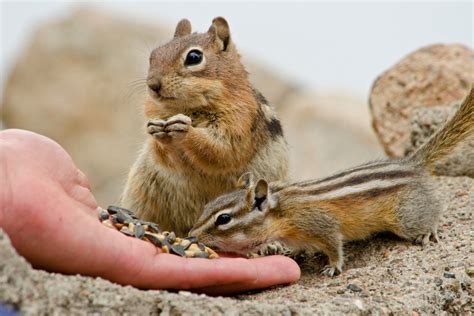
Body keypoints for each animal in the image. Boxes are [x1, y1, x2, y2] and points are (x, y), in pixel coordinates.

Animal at [120, 16, 286, 235]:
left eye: (194, 57)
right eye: (153, 55)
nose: (153, 85)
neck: (189, 109)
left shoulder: (238, 123)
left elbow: (220, 150)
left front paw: (186, 131)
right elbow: (166, 157)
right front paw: (157, 132)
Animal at [190, 87, 474, 276]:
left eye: (224, 219)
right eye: (207, 207)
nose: (192, 235)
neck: (281, 213)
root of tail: (409, 163)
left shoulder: (322, 225)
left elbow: (334, 244)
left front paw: (333, 266)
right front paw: (292, 253)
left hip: (406, 215)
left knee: (433, 211)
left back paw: (428, 229)